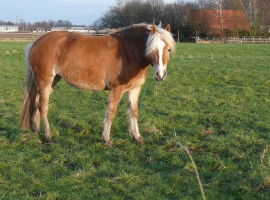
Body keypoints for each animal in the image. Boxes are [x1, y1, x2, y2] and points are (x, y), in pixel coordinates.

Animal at [19, 23, 175, 146]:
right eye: (152, 48)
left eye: (168, 49)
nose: (161, 75)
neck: (128, 52)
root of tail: (35, 43)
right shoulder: (116, 90)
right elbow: (111, 113)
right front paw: (107, 140)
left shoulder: (135, 89)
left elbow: (134, 112)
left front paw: (137, 137)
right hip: (45, 82)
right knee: (43, 107)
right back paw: (49, 137)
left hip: (51, 82)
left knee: (36, 104)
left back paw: (37, 130)